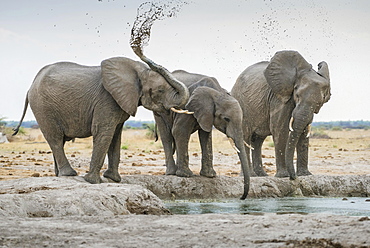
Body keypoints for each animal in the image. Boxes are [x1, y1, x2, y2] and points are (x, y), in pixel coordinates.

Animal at [13, 55, 189, 185]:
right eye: (160, 90)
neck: (137, 71)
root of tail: (31, 86)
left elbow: (116, 137)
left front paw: (113, 179)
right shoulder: (106, 99)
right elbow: (104, 133)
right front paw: (93, 181)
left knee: (59, 140)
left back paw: (59, 175)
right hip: (43, 107)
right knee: (55, 138)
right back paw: (69, 174)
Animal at [153, 70, 251, 200]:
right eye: (226, 119)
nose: (241, 198)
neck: (217, 92)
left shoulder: (207, 114)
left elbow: (206, 135)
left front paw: (210, 175)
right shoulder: (188, 106)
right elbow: (179, 130)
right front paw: (186, 175)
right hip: (158, 109)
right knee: (167, 135)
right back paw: (172, 173)